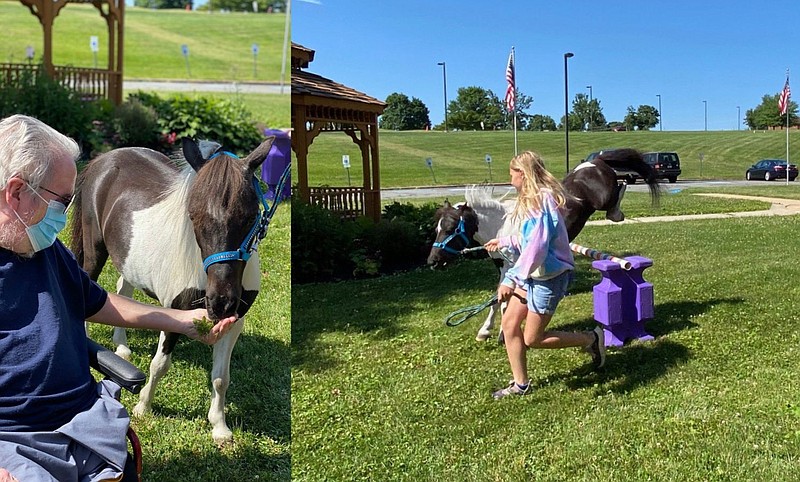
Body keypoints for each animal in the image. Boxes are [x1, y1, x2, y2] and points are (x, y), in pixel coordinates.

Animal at [72, 137, 272, 442]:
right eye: (193, 214)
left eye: (250, 216)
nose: (221, 302)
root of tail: (106, 158)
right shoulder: (173, 314)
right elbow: (159, 365)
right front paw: (143, 407)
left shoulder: (234, 322)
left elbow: (221, 377)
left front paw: (219, 427)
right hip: (95, 250)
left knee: (122, 290)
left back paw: (122, 347)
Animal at [428, 149, 660, 340]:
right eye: (437, 228)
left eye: (450, 228)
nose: (432, 261)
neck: (502, 226)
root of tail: (596, 161)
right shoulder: (503, 268)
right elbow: (498, 298)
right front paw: (485, 331)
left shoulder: (514, 266)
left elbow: (502, 301)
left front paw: (500, 333)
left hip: (603, 199)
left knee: (620, 190)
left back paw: (618, 211)